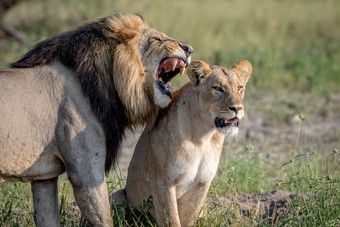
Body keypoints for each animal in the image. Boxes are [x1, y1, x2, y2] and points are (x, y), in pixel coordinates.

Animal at [0, 12, 191, 227]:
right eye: (157, 39)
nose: (189, 49)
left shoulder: (44, 176)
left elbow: (47, 217)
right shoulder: (86, 174)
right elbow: (104, 218)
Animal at [112, 59, 252, 226]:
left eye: (239, 88)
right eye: (217, 88)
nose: (237, 108)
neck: (204, 135)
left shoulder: (202, 183)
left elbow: (189, 218)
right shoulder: (162, 181)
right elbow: (171, 219)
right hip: (117, 197)